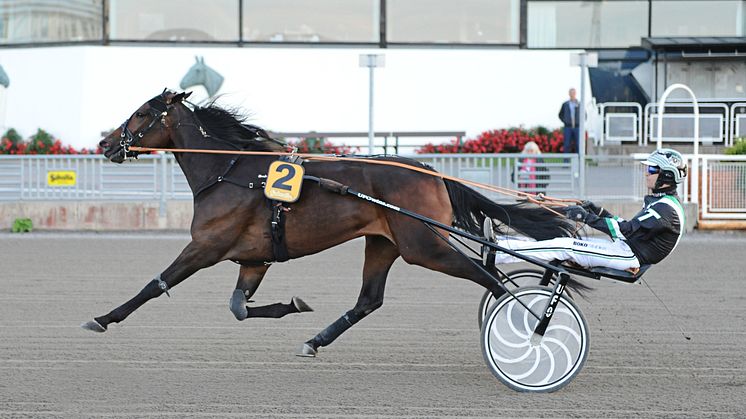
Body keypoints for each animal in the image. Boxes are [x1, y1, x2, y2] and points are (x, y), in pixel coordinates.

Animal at [83, 90, 568, 356]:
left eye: (142, 112)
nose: (105, 144)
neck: (230, 171)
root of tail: (432, 172)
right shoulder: (254, 259)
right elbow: (239, 308)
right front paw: (293, 305)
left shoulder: (205, 247)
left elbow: (155, 285)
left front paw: (104, 318)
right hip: (384, 243)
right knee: (369, 299)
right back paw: (315, 340)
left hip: (423, 246)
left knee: (492, 279)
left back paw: (527, 323)